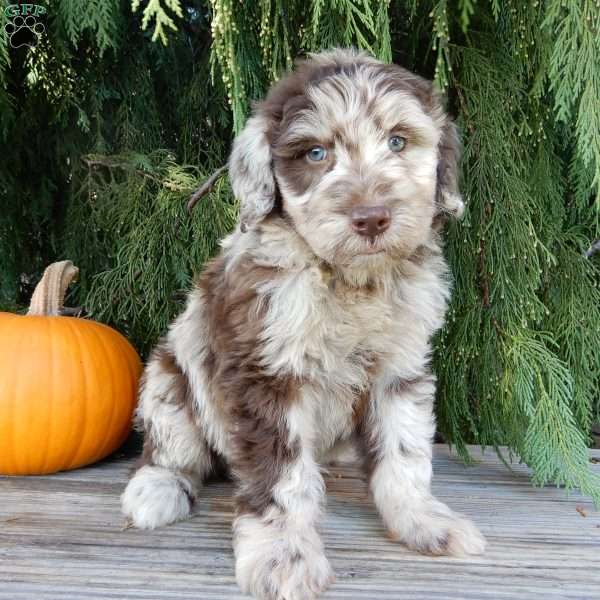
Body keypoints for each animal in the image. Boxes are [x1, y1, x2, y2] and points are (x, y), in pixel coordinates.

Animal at [123, 48, 488, 600]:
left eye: (398, 141)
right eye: (316, 154)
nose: (371, 218)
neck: (347, 279)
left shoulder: (400, 368)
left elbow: (404, 453)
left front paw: (423, 521)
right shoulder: (268, 374)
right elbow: (282, 477)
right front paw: (283, 556)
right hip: (169, 375)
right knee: (173, 451)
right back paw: (157, 489)